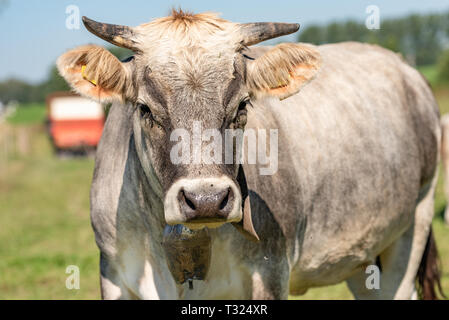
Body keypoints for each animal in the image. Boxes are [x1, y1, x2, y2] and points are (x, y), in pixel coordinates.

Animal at [57, 10, 442, 300]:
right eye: (145, 109)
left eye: (242, 105)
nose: (207, 199)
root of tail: (407, 70)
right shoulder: (114, 274)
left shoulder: (269, 273)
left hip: (415, 224)